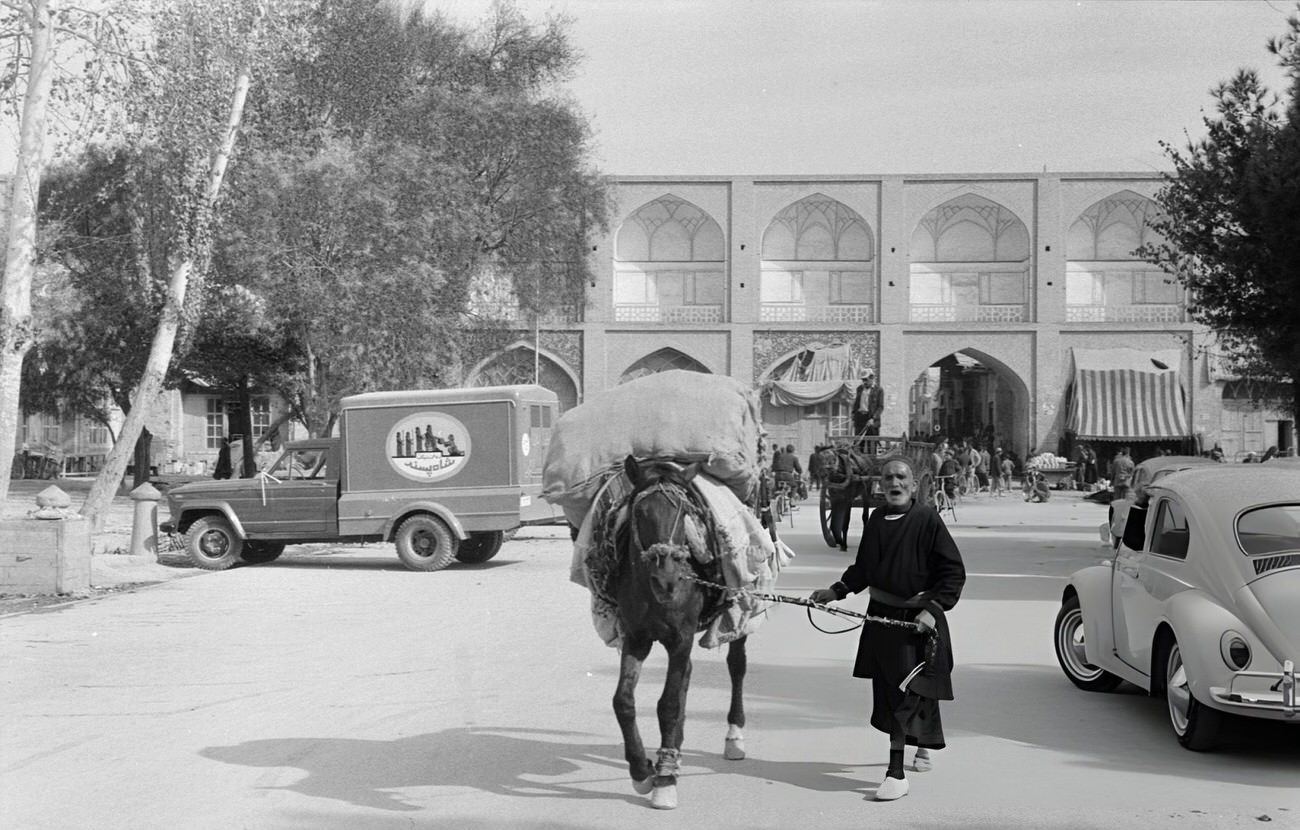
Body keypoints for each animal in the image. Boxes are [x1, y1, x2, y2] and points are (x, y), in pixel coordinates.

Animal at [611, 455, 748, 811]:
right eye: (640, 512)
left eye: (684, 512)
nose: (667, 578)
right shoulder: (637, 637)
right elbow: (624, 701)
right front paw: (641, 769)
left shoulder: (681, 638)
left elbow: (668, 704)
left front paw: (664, 779)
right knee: (685, 673)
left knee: (736, 667)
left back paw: (733, 736)